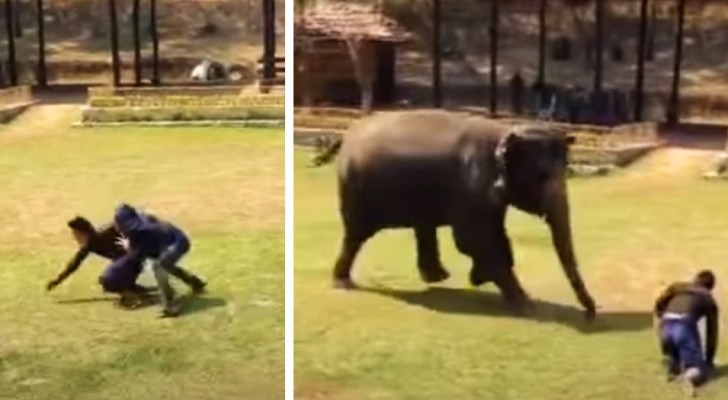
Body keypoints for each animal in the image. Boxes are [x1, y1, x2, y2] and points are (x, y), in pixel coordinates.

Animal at [318, 109, 596, 318]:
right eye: (541, 176)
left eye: (567, 168)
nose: (591, 313)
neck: (504, 132)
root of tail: (347, 134)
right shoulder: (471, 189)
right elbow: (473, 239)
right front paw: (525, 305)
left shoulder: (488, 197)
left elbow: (497, 236)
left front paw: (479, 278)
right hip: (354, 191)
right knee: (355, 235)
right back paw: (343, 283)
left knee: (422, 226)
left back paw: (437, 277)